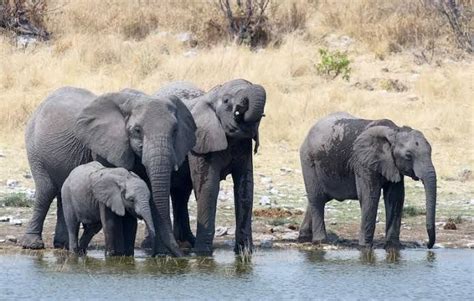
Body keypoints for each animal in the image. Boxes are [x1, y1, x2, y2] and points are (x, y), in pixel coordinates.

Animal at [20, 85, 196, 255]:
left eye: (175, 131)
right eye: (137, 130)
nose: (181, 254)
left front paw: (160, 254)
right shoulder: (105, 145)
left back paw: (62, 245)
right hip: (35, 150)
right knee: (46, 191)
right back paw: (33, 245)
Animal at [156, 78, 266, 254]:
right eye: (226, 100)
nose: (241, 108)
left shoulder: (243, 144)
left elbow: (245, 187)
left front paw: (245, 252)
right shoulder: (200, 141)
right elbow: (209, 187)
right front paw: (203, 253)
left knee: (181, 193)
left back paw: (186, 242)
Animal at [300, 112, 436, 248]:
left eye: (431, 152)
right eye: (408, 156)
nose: (428, 245)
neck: (394, 131)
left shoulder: (393, 165)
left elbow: (395, 197)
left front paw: (393, 246)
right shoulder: (363, 161)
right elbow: (369, 196)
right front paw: (364, 247)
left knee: (319, 198)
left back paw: (304, 237)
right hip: (308, 161)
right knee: (317, 198)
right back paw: (321, 241)